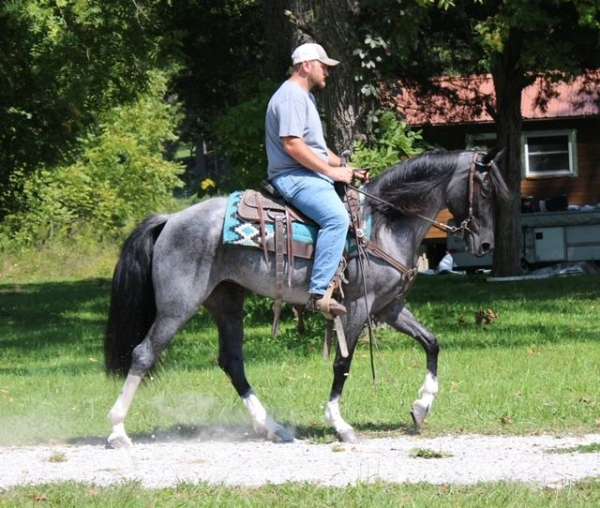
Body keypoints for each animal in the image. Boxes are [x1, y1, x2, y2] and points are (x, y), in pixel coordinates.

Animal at [103, 148, 506, 448]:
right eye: (485, 190)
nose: (487, 245)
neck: (385, 224)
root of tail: (170, 219)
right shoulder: (357, 307)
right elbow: (343, 363)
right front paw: (340, 423)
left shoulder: (389, 307)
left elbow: (432, 343)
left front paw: (421, 407)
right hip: (178, 307)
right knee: (144, 354)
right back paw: (117, 430)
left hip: (227, 303)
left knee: (232, 362)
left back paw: (273, 428)